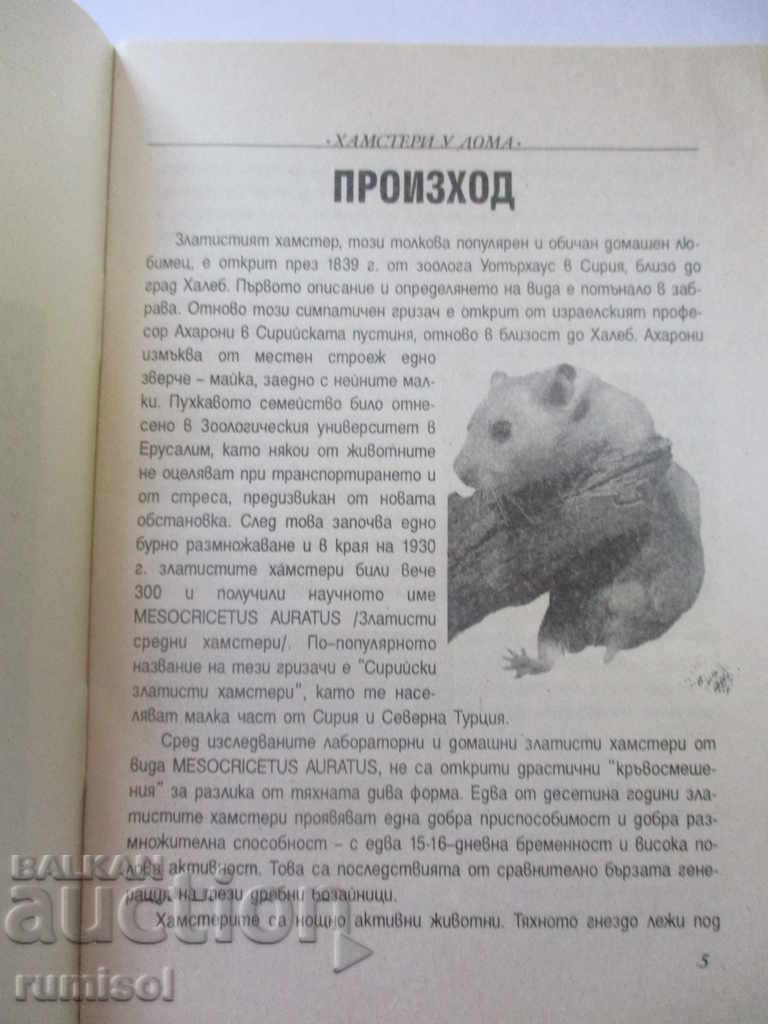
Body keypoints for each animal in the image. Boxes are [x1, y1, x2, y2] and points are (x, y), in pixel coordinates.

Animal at [453, 363, 704, 676]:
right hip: (558, 613)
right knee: (551, 656)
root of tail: (602, 634)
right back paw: (521, 662)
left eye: (502, 429)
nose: (458, 471)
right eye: (469, 425)